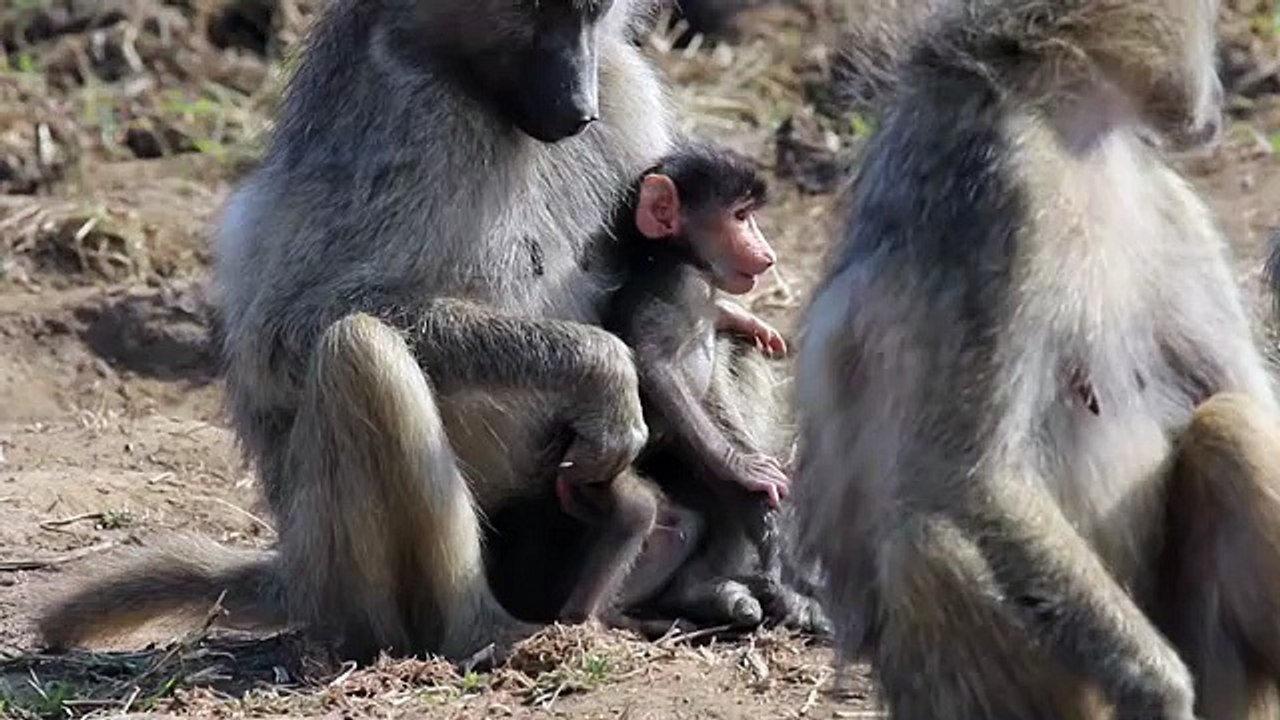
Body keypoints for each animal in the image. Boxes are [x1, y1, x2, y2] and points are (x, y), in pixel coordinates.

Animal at [34, 0, 827, 664]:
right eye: (533, 11)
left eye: (588, 13)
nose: (579, 107)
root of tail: (298, 573)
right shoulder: (400, 119)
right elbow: (286, 330)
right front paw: (604, 371)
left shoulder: (622, 82)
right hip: (352, 575)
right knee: (358, 349)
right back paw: (489, 633)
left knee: (722, 334)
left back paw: (709, 588)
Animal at [789, 0, 1280, 717]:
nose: (1218, 98)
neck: (1066, 122)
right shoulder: (1004, 192)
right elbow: (971, 475)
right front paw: (1161, 691)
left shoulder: (1173, 205)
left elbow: (1250, 397)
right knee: (926, 550)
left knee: (1230, 426)